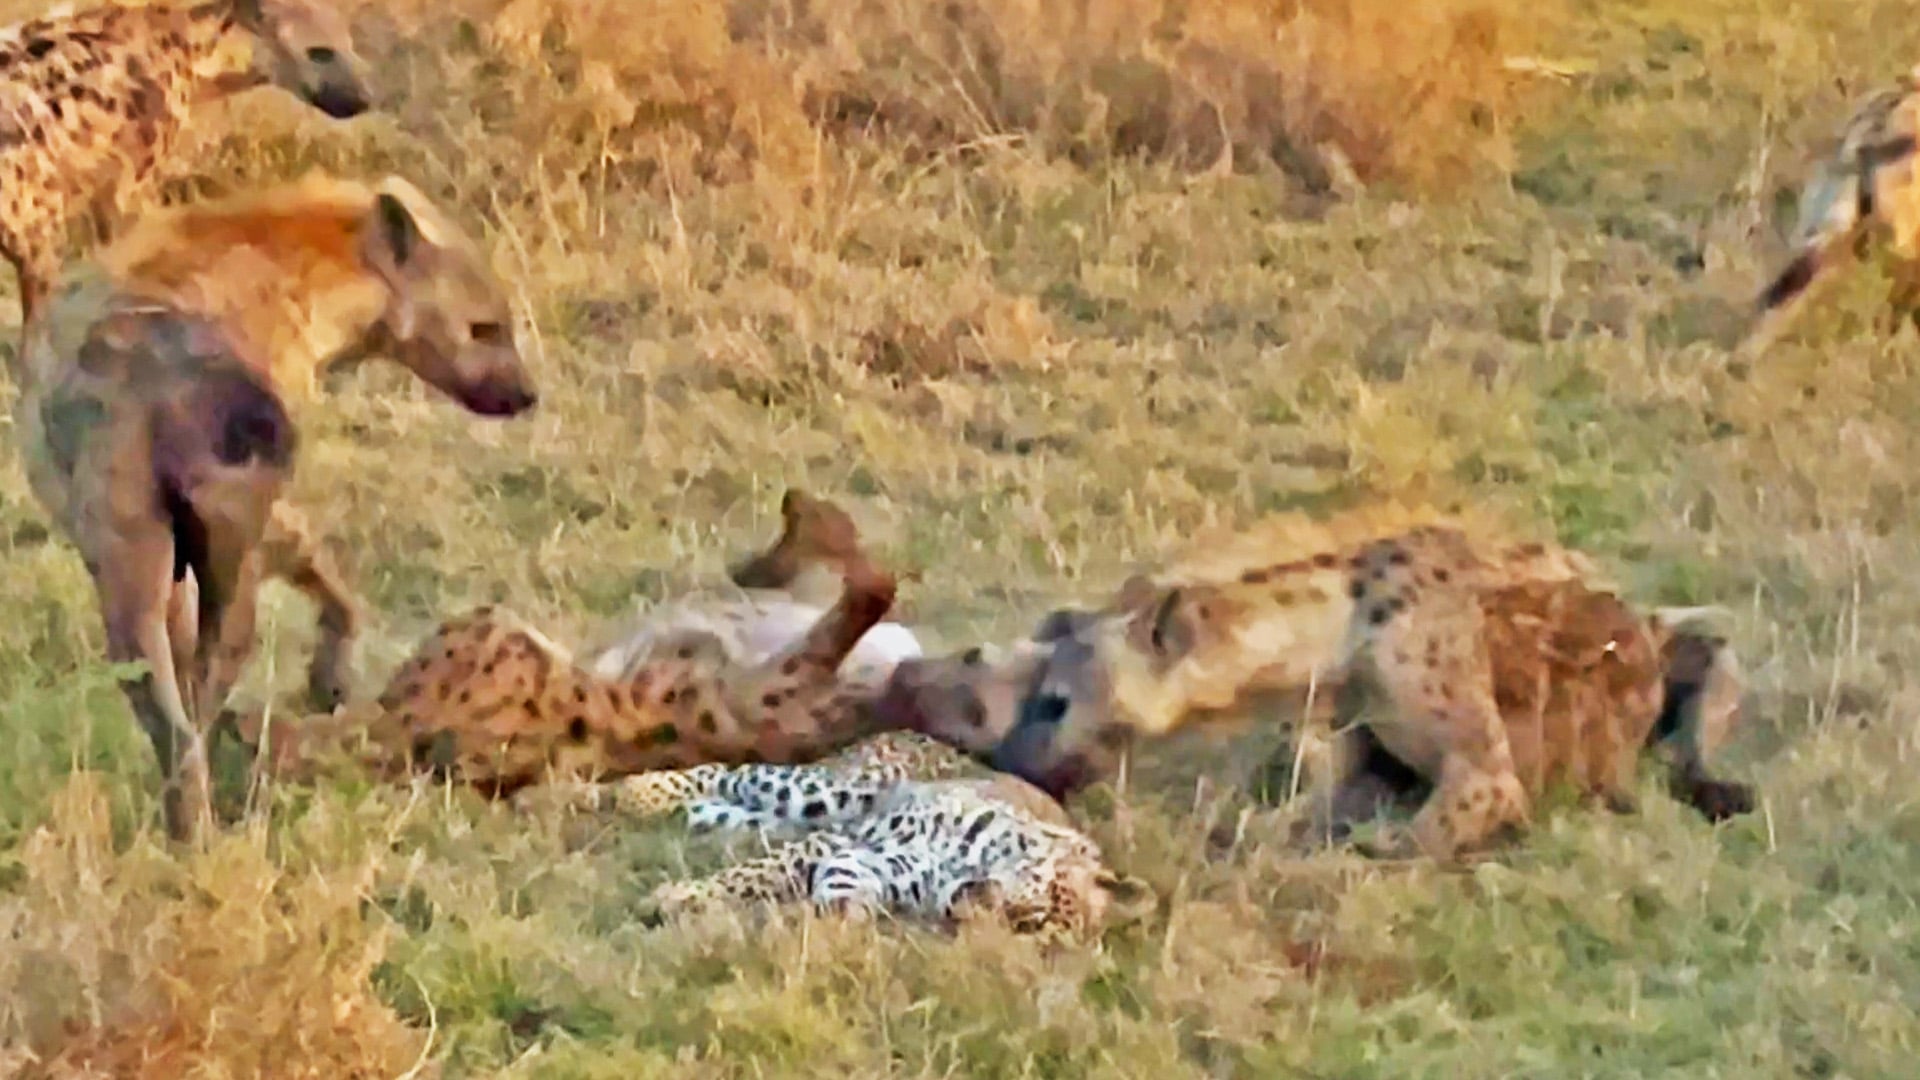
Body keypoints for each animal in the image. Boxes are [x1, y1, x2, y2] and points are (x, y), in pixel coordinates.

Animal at [871, 504, 1756, 863]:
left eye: (1057, 701)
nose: (1019, 764)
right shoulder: (1338, 722)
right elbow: (1308, 786)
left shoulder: (1456, 732)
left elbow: (1459, 802)